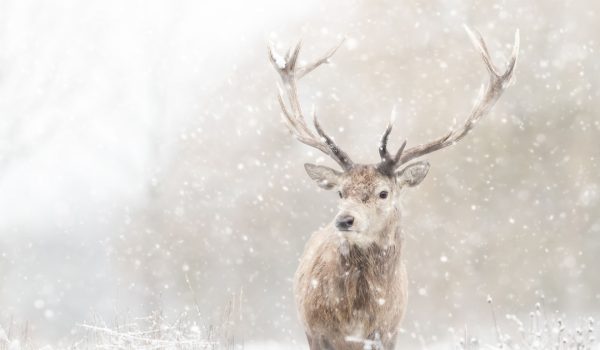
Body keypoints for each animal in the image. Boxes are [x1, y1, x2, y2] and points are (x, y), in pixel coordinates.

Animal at [270, 28, 516, 350]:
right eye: (340, 192)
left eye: (383, 193)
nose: (344, 219)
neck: (358, 316)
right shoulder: (318, 331)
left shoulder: (388, 331)